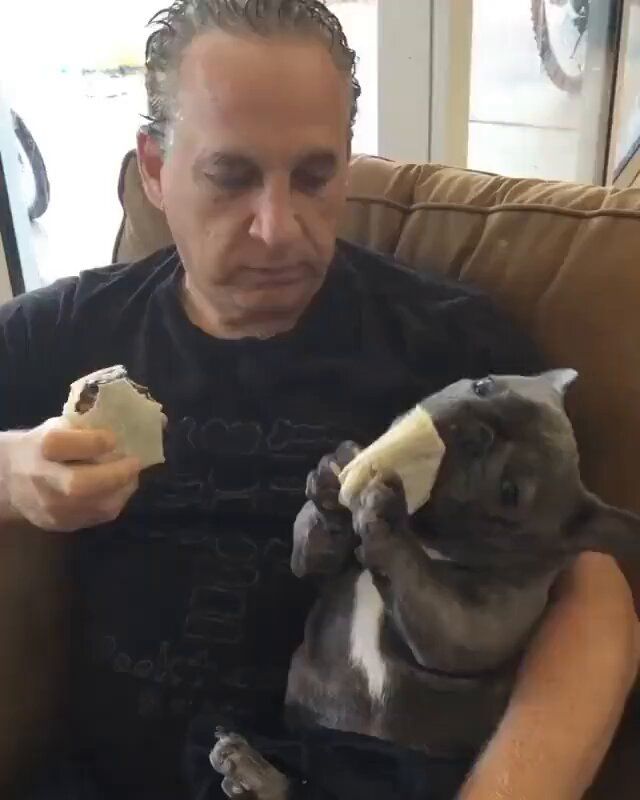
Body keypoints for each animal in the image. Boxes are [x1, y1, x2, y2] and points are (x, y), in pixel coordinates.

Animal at [209, 372, 640, 796]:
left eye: (509, 492)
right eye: (484, 385)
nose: (478, 430)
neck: (427, 540)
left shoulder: (473, 626)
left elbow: (433, 607)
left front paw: (384, 523)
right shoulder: (319, 563)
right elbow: (311, 552)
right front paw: (332, 482)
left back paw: (256, 776)